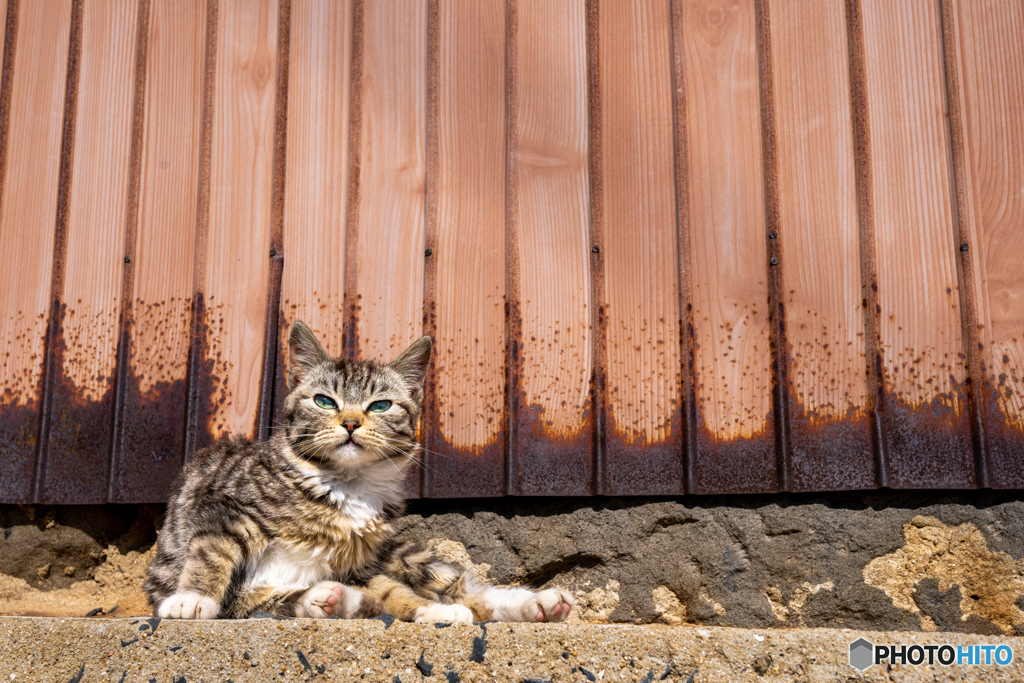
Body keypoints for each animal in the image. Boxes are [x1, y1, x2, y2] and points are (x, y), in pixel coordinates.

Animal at [143, 323, 573, 622]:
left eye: (380, 405)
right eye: (323, 401)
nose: (350, 422)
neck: (344, 485)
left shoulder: (362, 563)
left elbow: (395, 592)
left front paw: (429, 610)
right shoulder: (226, 507)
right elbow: (212, 551)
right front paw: (192, 598)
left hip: (402, 554)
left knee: (457, 585)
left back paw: (538, 602)